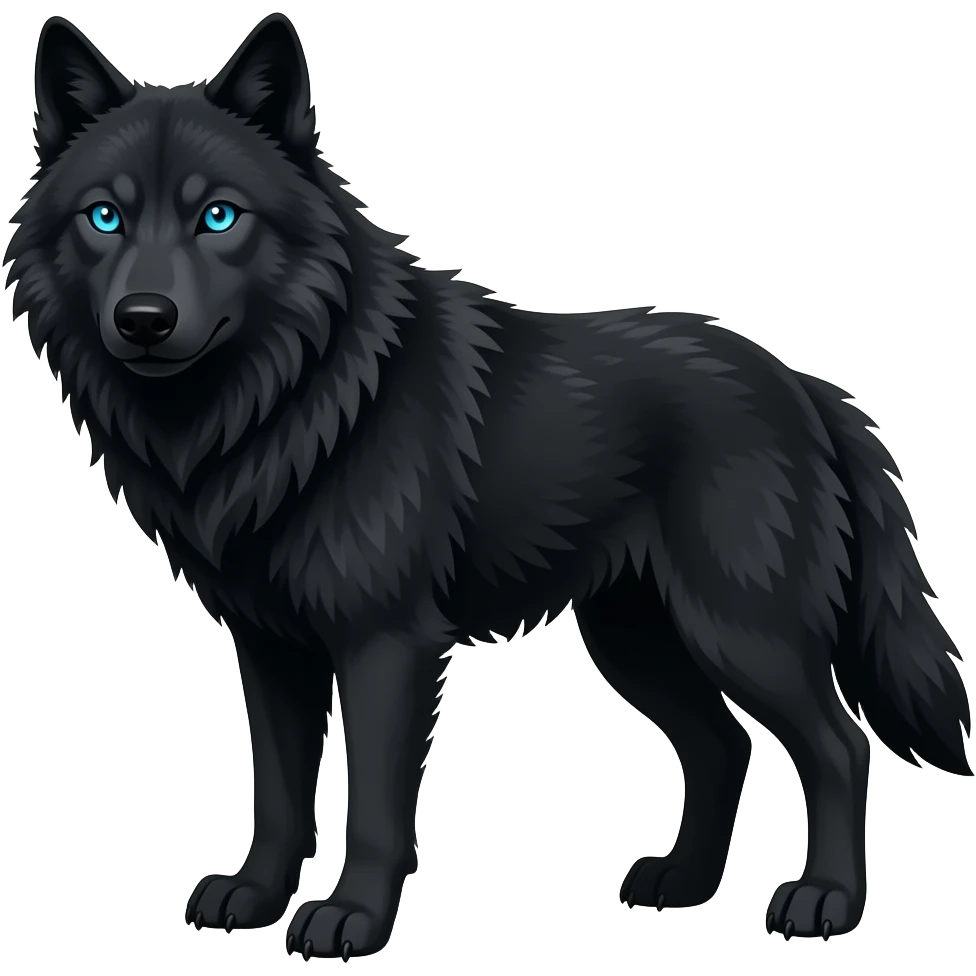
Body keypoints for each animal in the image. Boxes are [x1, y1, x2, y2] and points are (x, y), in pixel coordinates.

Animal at [6, 11, 972, 960]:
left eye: (217, 216)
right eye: (104, 218)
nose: (144, 319)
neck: (287, 402)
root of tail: (804, 385)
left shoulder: (385, 643)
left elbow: (377, 806)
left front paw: (352, 919)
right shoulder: (269, 646)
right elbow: (277, 793)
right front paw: (253, 895)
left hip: (739, 630)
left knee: (839, 747)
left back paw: (826, 902)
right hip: (635, 638)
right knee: (723, 747)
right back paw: (683, 885)